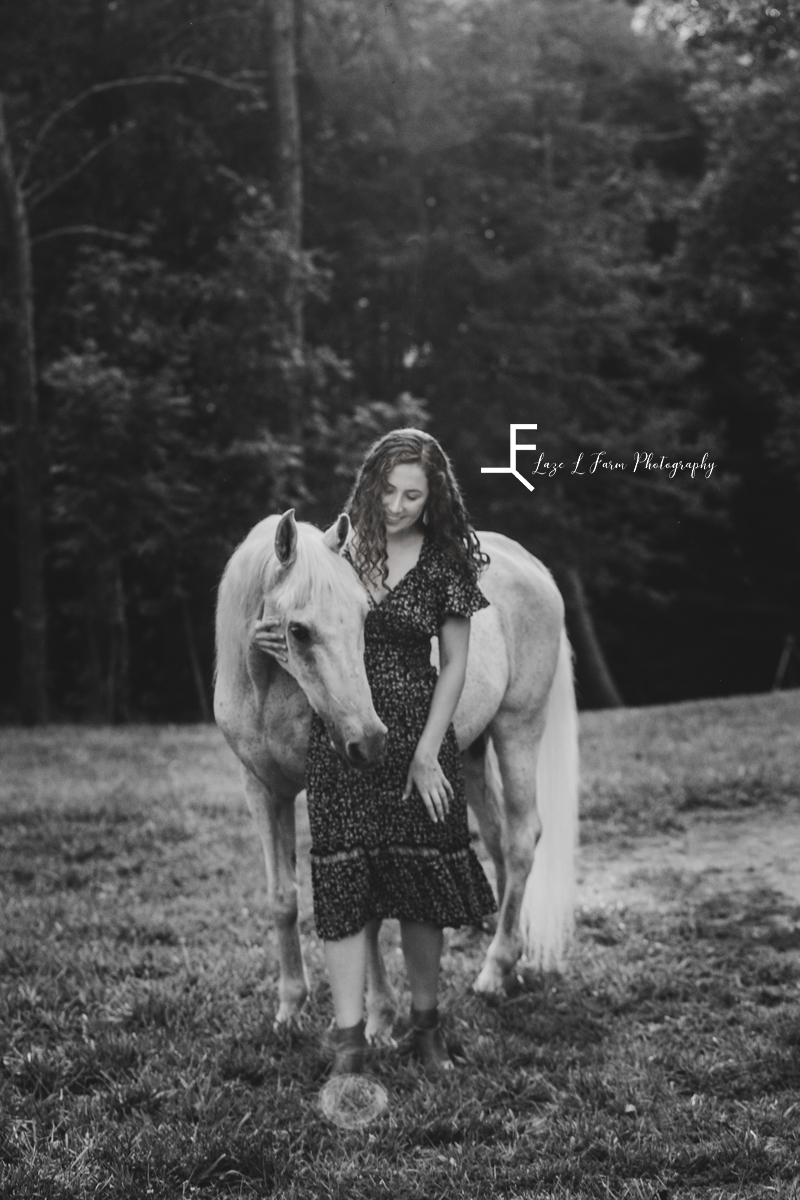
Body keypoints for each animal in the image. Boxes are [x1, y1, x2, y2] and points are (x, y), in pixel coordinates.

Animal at [212, 508, 578, 1041]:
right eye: (298, 631)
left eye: (366, 617)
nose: (369, 741)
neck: (267, 692)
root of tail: (532, 567)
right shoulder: (262, 790)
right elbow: (283, 898)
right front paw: (289, 1008)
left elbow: (363, 906)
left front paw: (379, 1018)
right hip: (471, 753)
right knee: (496, 842)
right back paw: (497, 946)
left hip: (519, 730)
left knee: (521, 840)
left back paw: (494, 970)